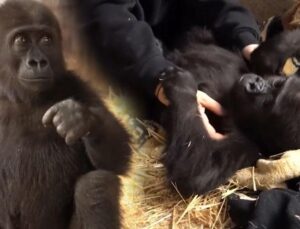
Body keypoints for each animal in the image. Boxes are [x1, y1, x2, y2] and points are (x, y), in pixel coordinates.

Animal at [0, 0, 131, 228]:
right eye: (21, 40)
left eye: (46, 39)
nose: (38, 62)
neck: (18, 97)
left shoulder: (77, 86)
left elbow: (117, 158)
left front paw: (82, 120)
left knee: (96, 185)